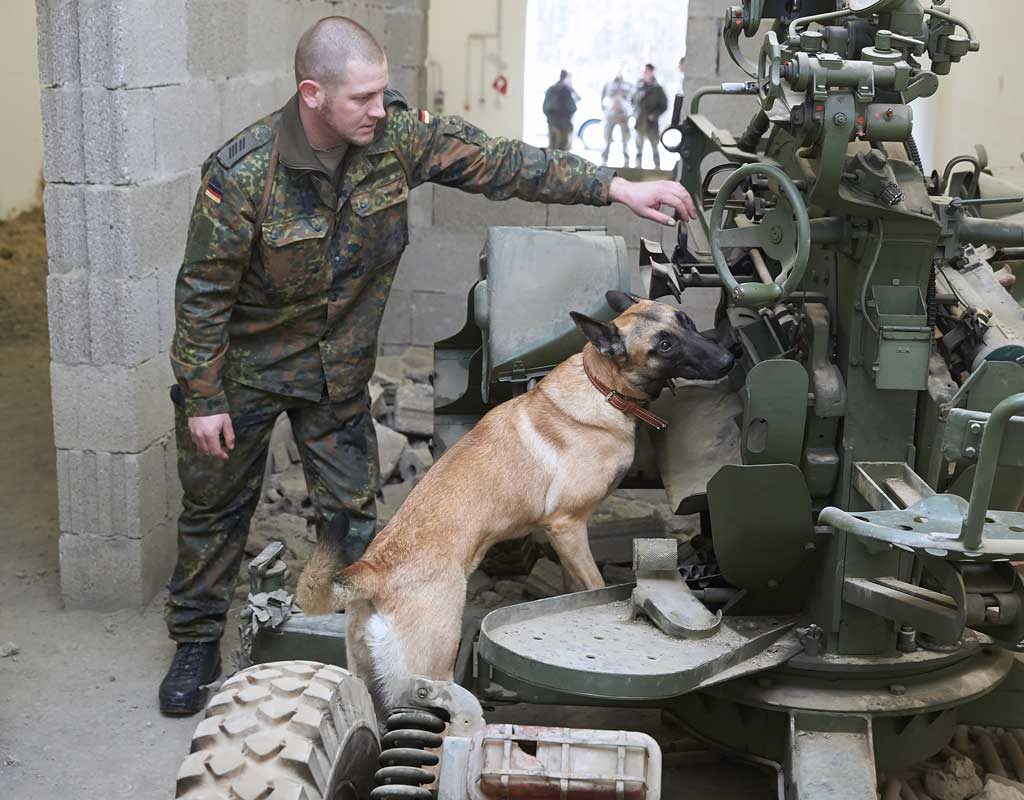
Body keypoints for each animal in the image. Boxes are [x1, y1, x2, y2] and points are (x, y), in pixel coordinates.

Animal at [296, 290, 737, 704]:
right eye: (664, 345)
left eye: (685, 320)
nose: (729, 358)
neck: (601, 386)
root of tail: (373, 570)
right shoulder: (568, 526)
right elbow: (594, 585)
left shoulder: (566, 539)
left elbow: (573, 587)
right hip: (433, 666)